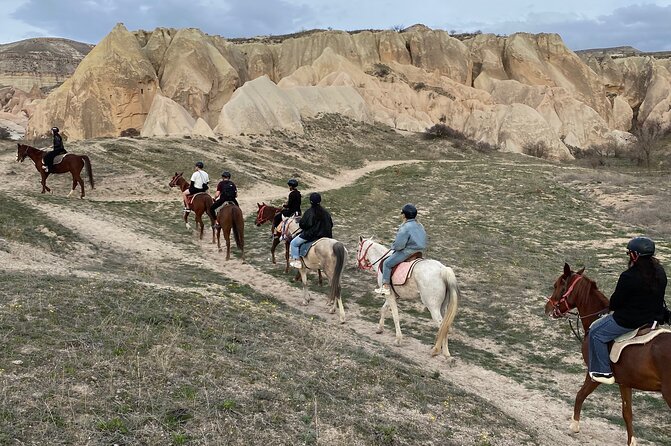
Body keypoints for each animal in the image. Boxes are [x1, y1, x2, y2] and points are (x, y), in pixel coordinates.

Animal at [544, 264, 671, 444]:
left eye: (557, 285)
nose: (547, 308)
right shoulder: (625, 382)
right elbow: (627, 413)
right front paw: (631, 441)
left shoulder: (594, 373)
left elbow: (580, 394)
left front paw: (574, 426)